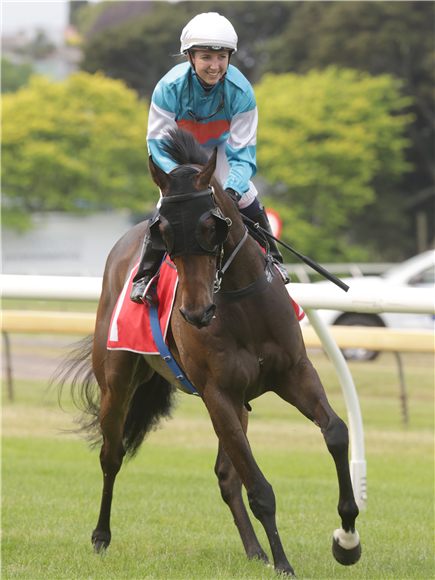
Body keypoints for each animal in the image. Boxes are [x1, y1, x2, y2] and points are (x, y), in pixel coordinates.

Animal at [54, 128, 362, 576]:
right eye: (163, 231)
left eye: (211, 226)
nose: (196, 312)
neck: (239, 301)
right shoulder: (218, 393)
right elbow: (260, 488)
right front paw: (284, 563)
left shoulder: (293, 373)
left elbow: (336, 432)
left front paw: (347, 540)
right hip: (117, 384)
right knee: (112, 456)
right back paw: (101, 536)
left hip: (240, 403)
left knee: (226, 476)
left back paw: (255, 551)